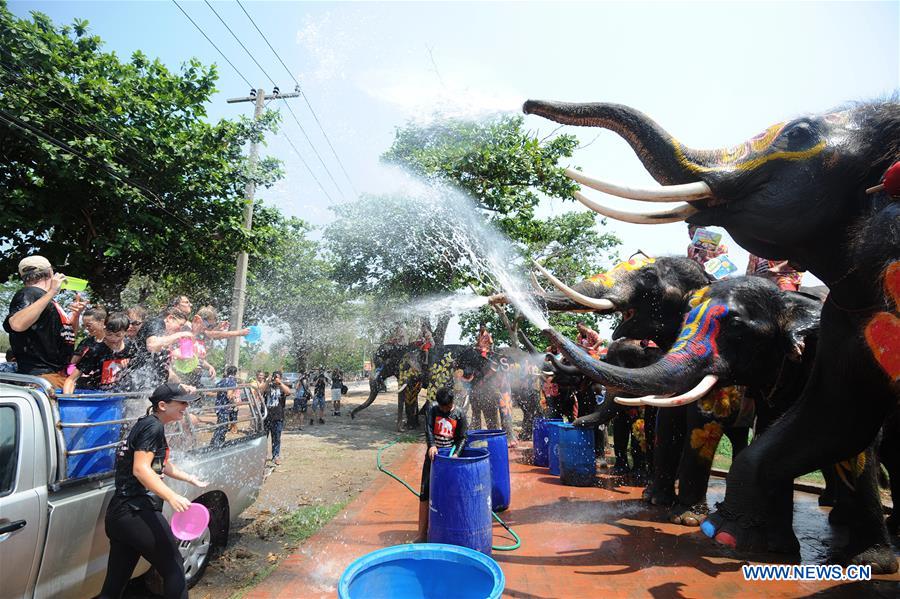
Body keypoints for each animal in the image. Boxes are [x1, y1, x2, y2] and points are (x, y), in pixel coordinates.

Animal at [528, 98, 900, 572]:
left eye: (649, 281)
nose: (526, 105)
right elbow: (667, 420)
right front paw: (655, 501)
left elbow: (701, 420)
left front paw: (685, 518)